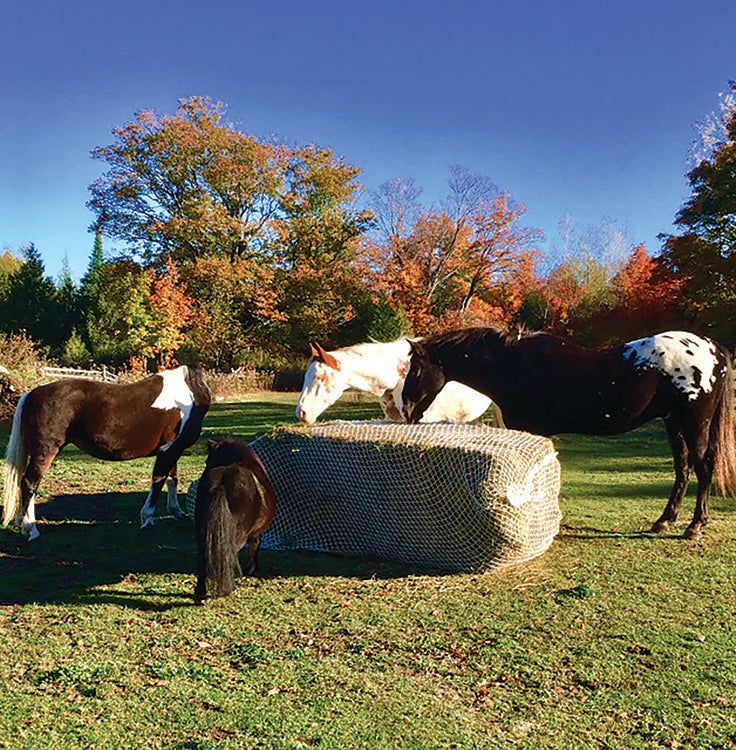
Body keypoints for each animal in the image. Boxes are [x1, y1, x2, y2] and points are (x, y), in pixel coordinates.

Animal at [2, 366, 210, 536]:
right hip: (45, 451)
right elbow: (158, 482)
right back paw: (30, 528)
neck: (188, 395)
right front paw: (147, 519)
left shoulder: (174, 449)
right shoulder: (169, 450)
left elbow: (171, 479)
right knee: (30, 483)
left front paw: (177, 512)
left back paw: (21, 522)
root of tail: (32, 393)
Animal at [194, 434, 278, 604]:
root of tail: (221, 483)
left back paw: (200, 593)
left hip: (203, 531)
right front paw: (252, 570)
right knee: (229, 554)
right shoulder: (256, 534)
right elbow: (254, 548)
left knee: (203, 556)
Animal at [402, 328, 736, 540]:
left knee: (703, 468)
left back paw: (695, 526)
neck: (513, 366)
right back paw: (665, 521)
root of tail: (715, 349)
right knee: (683, 469)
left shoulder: (531, 431)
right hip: (674, 424)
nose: (406, 410)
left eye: (414, 369)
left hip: (694, 424)